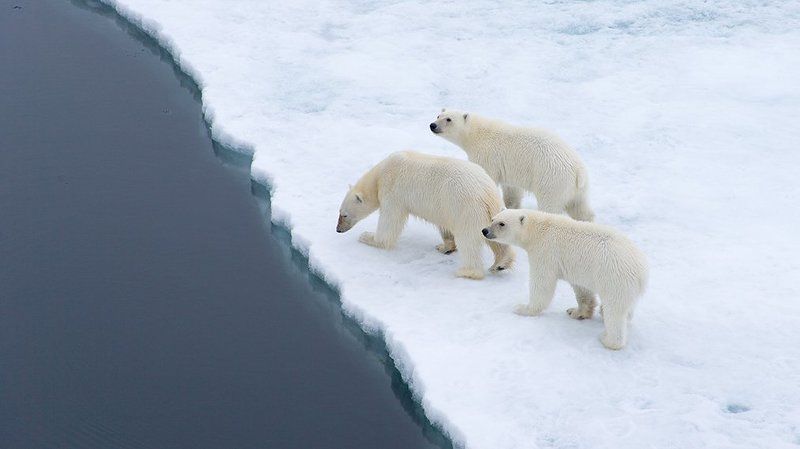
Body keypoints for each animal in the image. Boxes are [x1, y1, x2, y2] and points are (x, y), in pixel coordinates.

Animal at [336, 151, 515, 280]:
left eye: (344, 215)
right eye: (340, 213)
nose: (338, 229)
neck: (380, 175)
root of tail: (487, 194)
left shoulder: (392, 192)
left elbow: (389, 224)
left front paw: (367, 236)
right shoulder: (444, 207)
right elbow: (444, 227)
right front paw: (444, 247)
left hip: (466, 210)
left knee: (468, 242)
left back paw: (466, 272)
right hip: (493, 215)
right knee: (497, 238)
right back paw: (501, 263)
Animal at [430, 109, 595, 222]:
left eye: (449, 119)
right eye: (438, 116)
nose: (432, 125)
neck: (476, 134)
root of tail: (578, 171)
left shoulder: (487, 155)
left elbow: (488, 176)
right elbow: (512, 189)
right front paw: (511, 207)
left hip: (552, 180)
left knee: (550, 205)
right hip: (578, 189)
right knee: (580, 208)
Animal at [482, 209, 648, 349]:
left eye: (502, 224)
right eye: (493, 218)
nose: (485, 231)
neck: (538, 230)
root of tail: (642, 271)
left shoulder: (545, 252)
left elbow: (542, 282)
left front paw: (523, 308)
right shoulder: (578, 269)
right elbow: (581, 289)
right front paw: (576, 312)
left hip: (615, 280)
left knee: (615, 311)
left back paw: (607, 339)